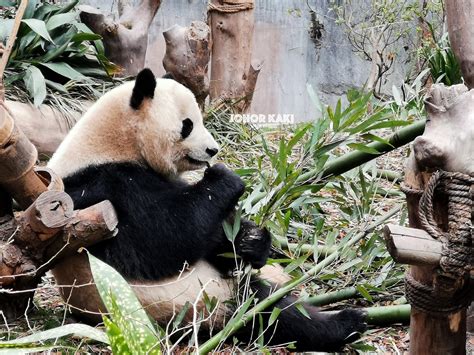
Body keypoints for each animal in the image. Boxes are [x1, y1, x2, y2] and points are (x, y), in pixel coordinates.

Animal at [48, 68, 364, 352]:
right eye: (187, 124)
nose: (213, 150)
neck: (115, 141)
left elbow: (211, 237)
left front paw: (251, 241)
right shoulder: (104, 189)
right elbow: (161, 241)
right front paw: (224, 177)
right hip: (187, 306)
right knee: (268, 312)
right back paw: (344, 324)